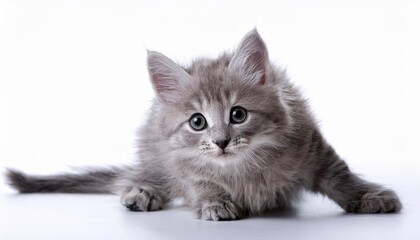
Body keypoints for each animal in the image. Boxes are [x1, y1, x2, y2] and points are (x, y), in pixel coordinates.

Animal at [5, 29, 400, 220]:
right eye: (197, 122)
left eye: (238, 114)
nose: (222, 141)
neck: (244, 167)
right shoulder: (181, 162)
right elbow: (199, 182)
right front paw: (215, 202)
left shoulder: (312, 146)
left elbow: (340, 176)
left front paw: (370, 196)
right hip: (151, 149)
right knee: (139, 175)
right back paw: (141, 192)